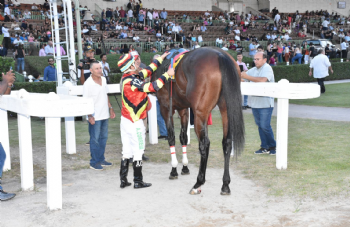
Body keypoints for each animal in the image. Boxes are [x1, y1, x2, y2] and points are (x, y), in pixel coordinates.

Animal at [152, 46, 245, 195]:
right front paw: (184, 167)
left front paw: (174, 170)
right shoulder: (183, 109)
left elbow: (171, 138)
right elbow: (183, 137)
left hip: (200, 114)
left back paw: (198, 182)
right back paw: (225, 184)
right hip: (225, 110)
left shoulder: (166, 109)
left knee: (204, 144)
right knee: (227, 142)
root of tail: (220, 56)